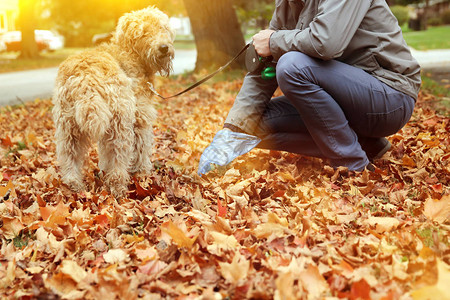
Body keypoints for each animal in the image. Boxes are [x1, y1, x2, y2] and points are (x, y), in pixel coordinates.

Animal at [51, 6, 174, 197]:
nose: (163, 48)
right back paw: (119, 188)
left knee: (69, 157)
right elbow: (141, 149)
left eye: (162, 27)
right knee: (119, 159)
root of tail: (86, 77)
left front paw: (104, 171)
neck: (129, 54)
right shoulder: (140, 120)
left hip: (68, 127)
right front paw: (143, 173)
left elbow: (104, 154)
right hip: (120, 124)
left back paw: (74, 185)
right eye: (144, 31)